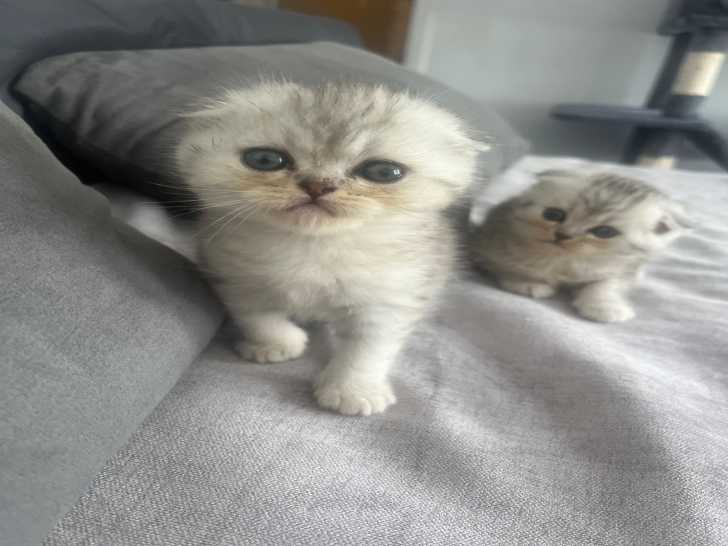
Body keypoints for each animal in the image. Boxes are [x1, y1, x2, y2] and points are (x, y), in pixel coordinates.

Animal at [176, 81, 485, 415]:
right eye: (265, 160)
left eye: (384, 172)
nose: (317, 185)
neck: (312, 248)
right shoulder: (232, 275)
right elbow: (258, 316)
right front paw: (278, 344)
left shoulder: (393, 294)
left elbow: (368, 347)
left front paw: (353, 390)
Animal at [468, 169, 689, 322]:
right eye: (554, 214)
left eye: (604, 232)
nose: (563, 235)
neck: (565, 261)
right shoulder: (490, 243)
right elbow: (510, 265)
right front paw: (528, 282)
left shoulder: (626, 268)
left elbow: (605, 284)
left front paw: (606, 306)